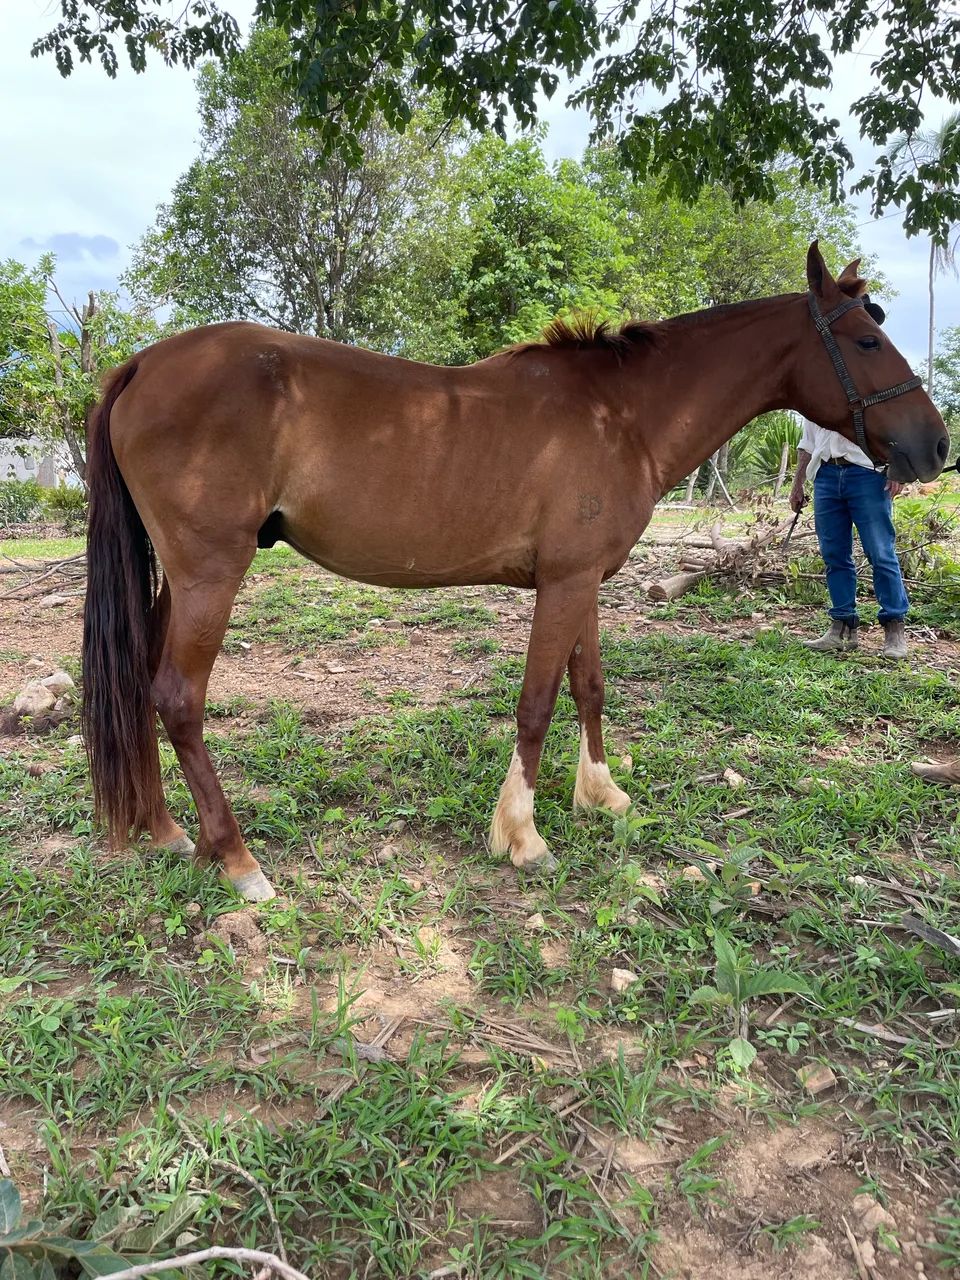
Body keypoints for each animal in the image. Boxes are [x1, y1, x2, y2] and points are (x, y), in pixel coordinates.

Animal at [81, 242, 948, 902]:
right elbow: (536, 704)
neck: (620, 413)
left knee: (138, 686)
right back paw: (238, 860)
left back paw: (167, 831)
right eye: (866, 342)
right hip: (210, 574)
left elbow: (589, 686)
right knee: (178, 699)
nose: (935, 446)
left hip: (175, 580)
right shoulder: (562, 586)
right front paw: (522, 835)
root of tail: (143, 363)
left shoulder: (584, 581)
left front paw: (601, 794)